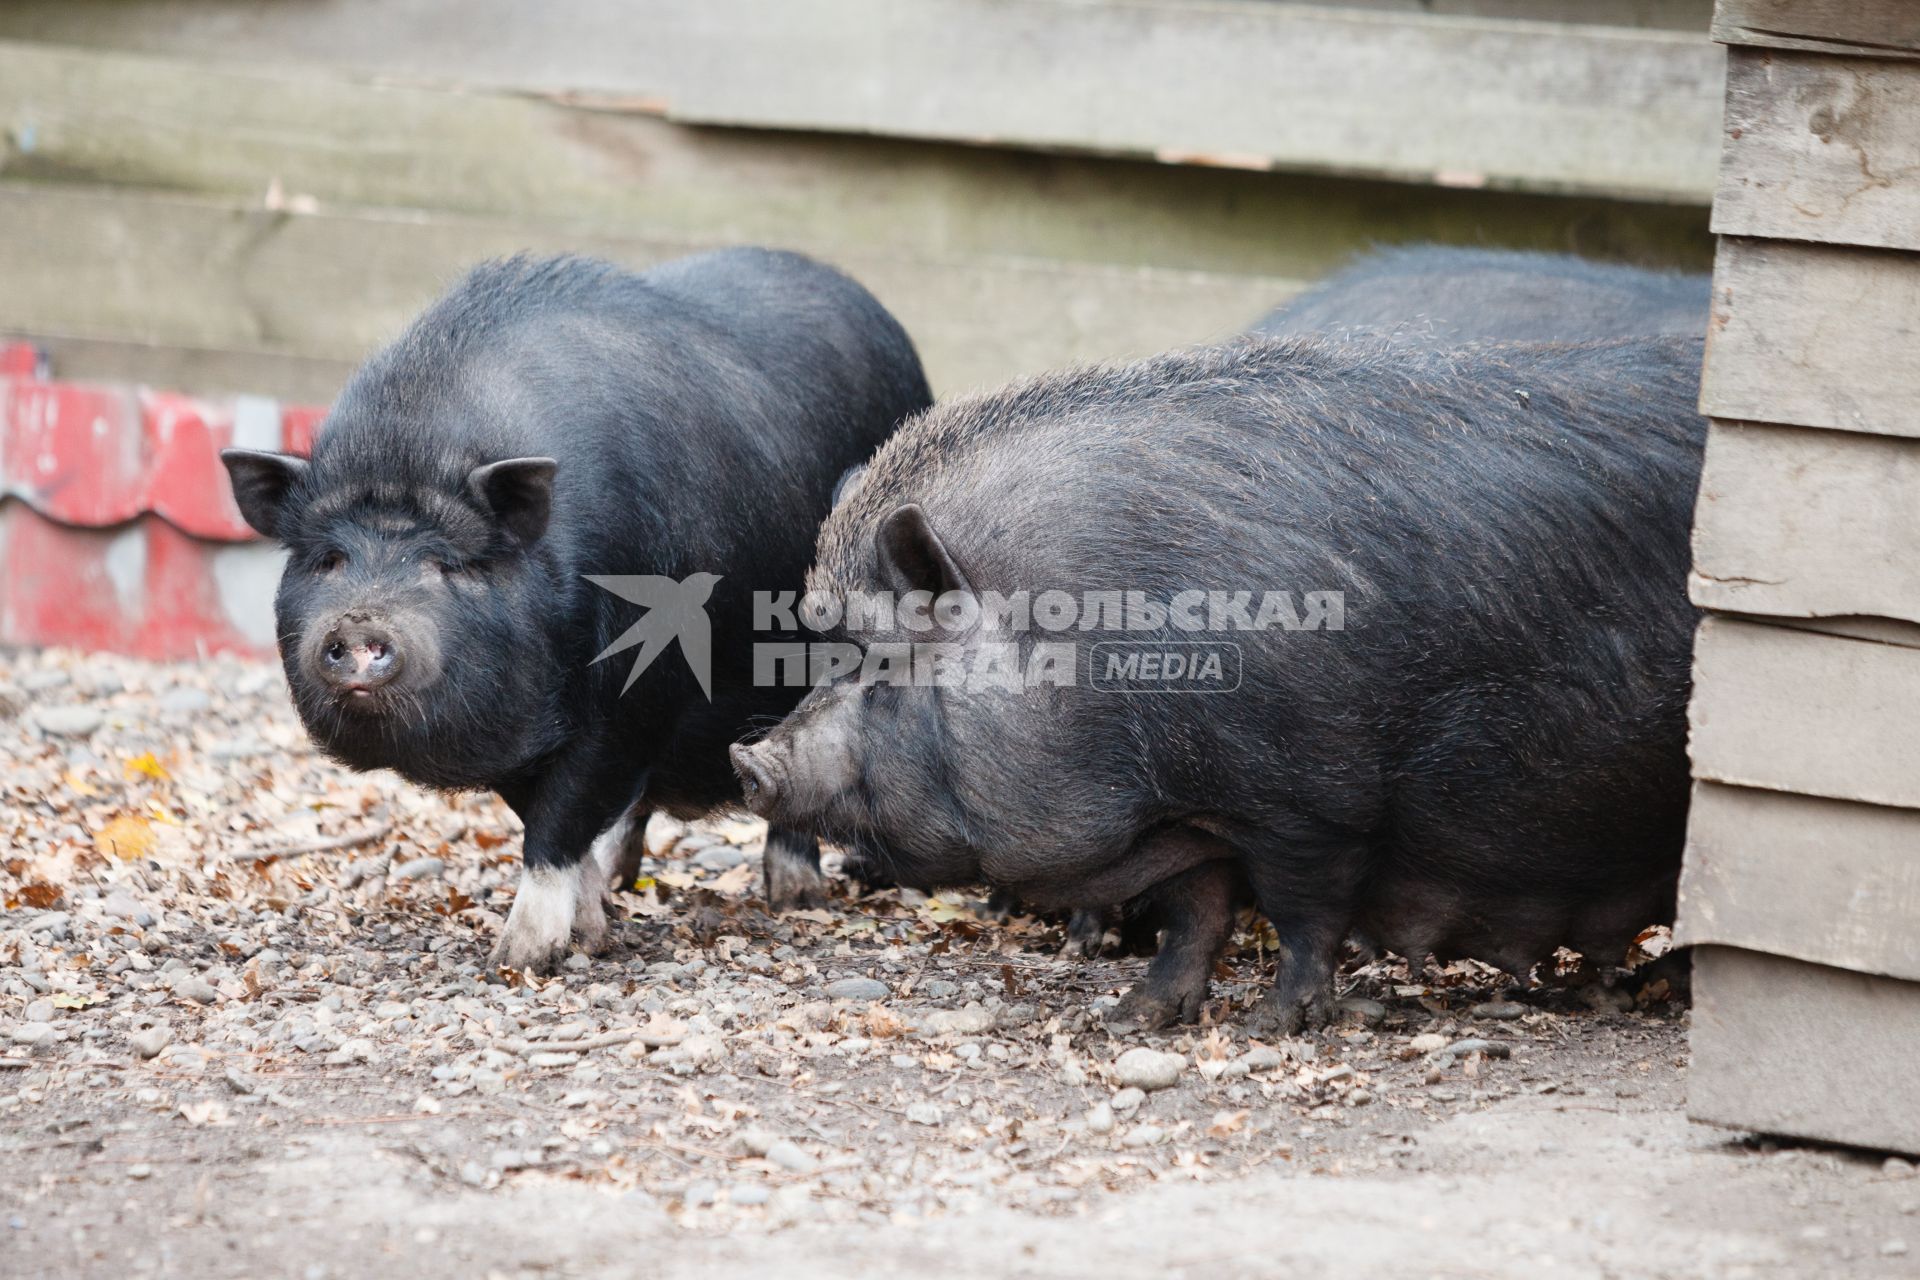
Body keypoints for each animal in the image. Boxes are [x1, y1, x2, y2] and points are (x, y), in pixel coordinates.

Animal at [224, 249, 929, 971]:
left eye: (449, 564)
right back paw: (626, 878)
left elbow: (560, 818)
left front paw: (519, 958)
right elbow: (543, 814)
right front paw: (590, 930)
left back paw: (795, 896)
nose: (360, 625)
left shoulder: (635, 699)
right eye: (328, 559)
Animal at [729, 333, 1697, 1028]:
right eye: (826, 652)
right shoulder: (1190, 818)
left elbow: (1307, 914)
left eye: (885, 661)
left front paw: (1276, 1024)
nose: (748, 763)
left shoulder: (1315, 801)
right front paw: (1131, 1019)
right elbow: (1196, 914)